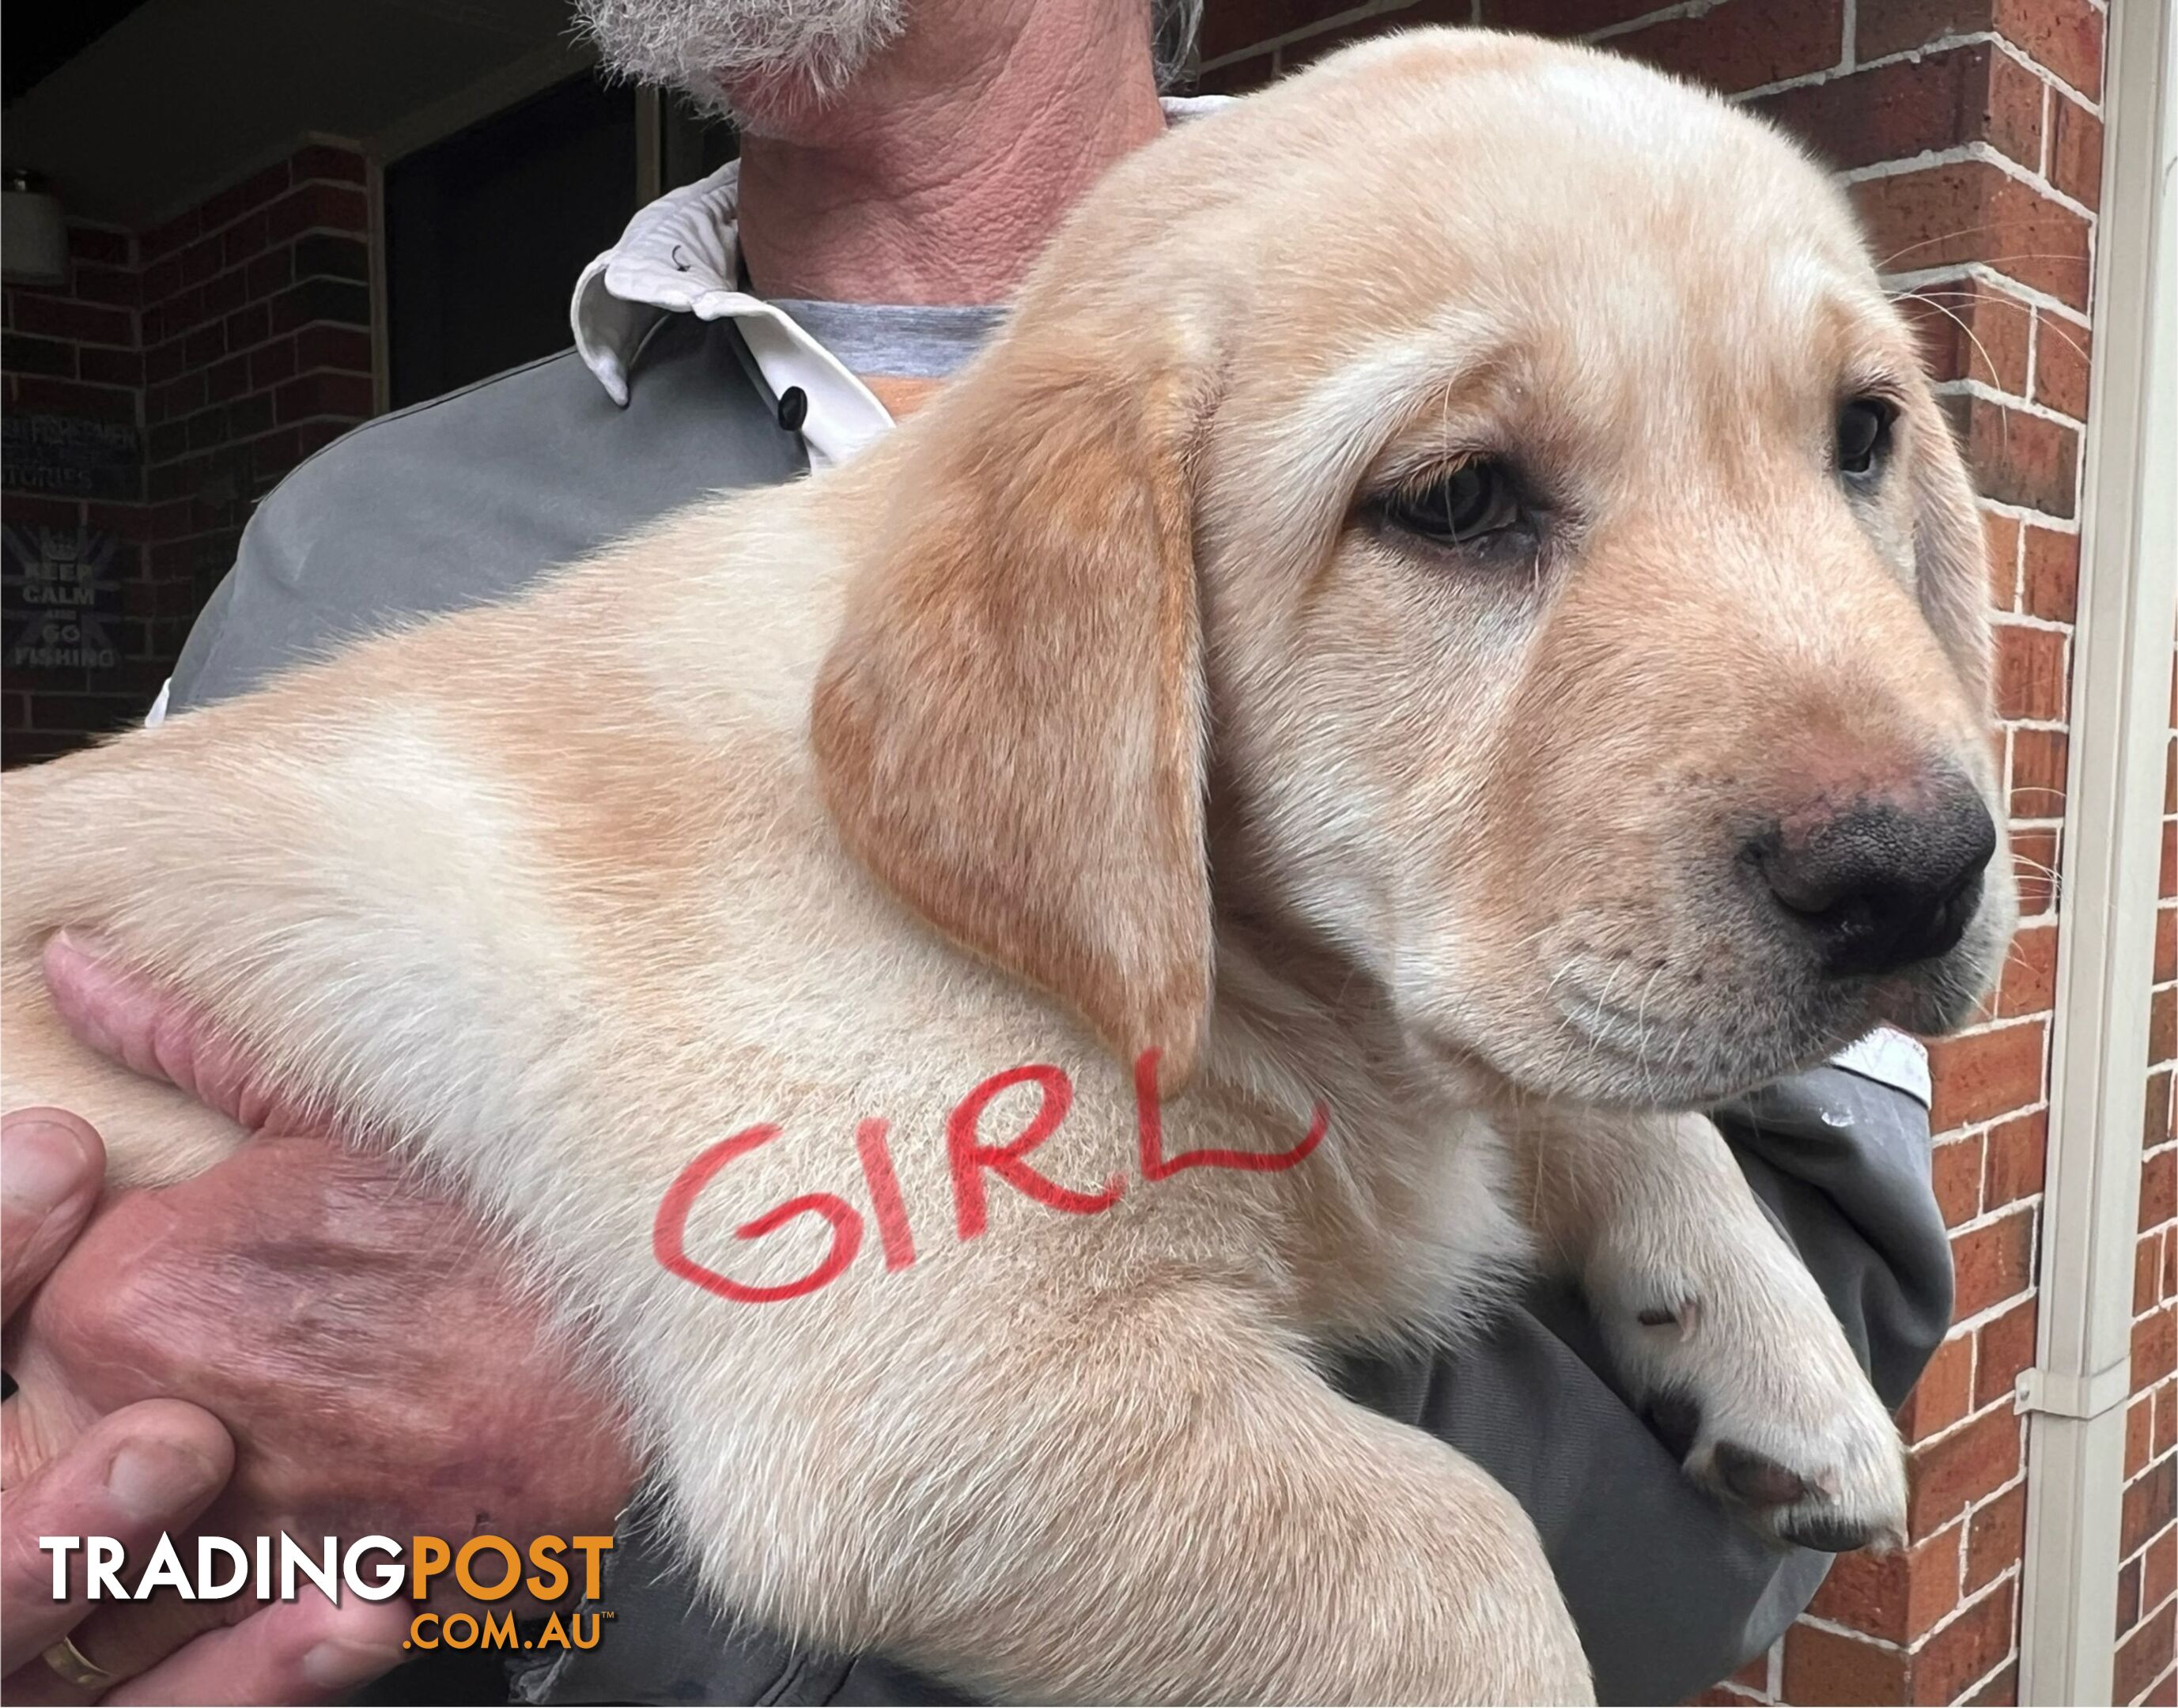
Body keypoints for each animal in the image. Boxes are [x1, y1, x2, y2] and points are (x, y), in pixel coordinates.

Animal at [0, 29, 2003, 1708]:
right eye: (1453, 501)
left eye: (1861, 435)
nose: (1922, 875)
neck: (1250, 981)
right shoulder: (952, 1407)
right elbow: (1466, 1553)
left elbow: (1605, 1101)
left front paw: (1783, 1364)